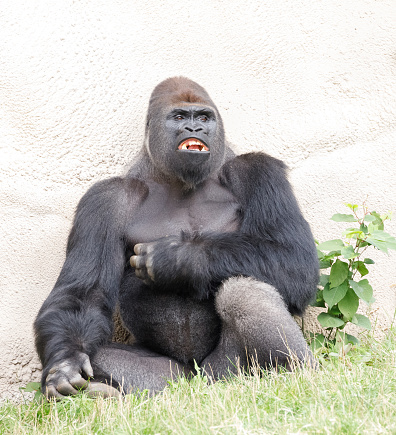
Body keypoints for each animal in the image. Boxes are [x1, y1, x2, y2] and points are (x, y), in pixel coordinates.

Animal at [34, 77, 318, 398]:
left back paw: (294, 372)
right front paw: (65, 364)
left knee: (243, 294)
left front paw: (179, 259)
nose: (195, 129)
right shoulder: (105, 199)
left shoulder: (258, 171)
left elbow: (294, 260)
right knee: (113, 360)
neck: (179, 181)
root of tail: (193, 380)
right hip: (169, 382)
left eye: (204, 118)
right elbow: (84, 294)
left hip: (224, 376)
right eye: (180, 117)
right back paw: (101, 392)